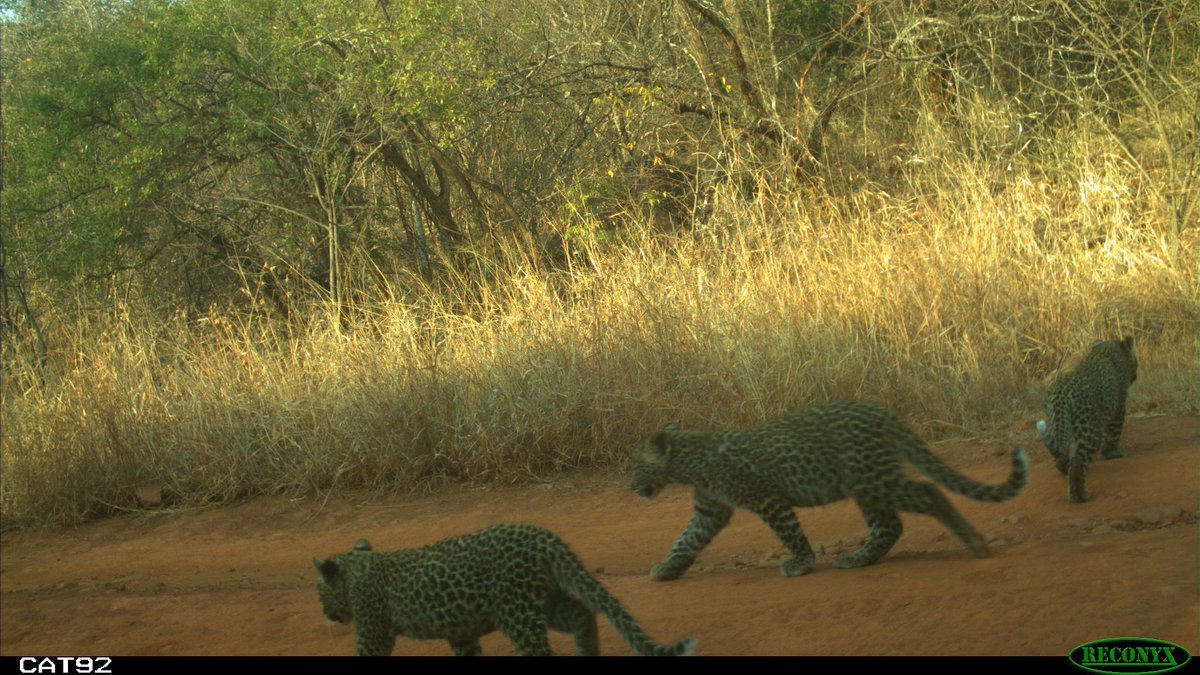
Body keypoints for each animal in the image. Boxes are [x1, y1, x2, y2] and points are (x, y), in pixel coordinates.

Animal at [313, 524, 697, 656]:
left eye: (319, 594)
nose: (325, 613)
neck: (355, 568)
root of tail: (542, 536)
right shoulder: (461, 632)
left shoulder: (373, 631)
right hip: (542, 601)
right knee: (583, 613)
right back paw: (587, 652)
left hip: (518, 614)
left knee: (542, 651)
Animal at [630, 400, 1029, 581]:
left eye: (635, 467)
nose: (632, 487)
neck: (688, 462)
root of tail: (883, 413)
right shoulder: (710, 510)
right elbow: (686, 539)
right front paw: (667, 568)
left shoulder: (767, 499)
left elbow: (790, 534)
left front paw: (801, 564)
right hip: (865, 484)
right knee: (889, 526)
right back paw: (858, 558)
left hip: (872, 478)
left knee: (929, 492)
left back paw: (975, 543)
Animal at [1036, 336, 1138, 503]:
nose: (1136, 376)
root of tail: (1060, 392)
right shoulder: (1119, 405)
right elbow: (1113, 433)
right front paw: (1113, 453)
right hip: (1088, 428)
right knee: (1078, 460)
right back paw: (1079, 496)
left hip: (1057, 422)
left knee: (1060, 452)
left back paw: (1064, 468)